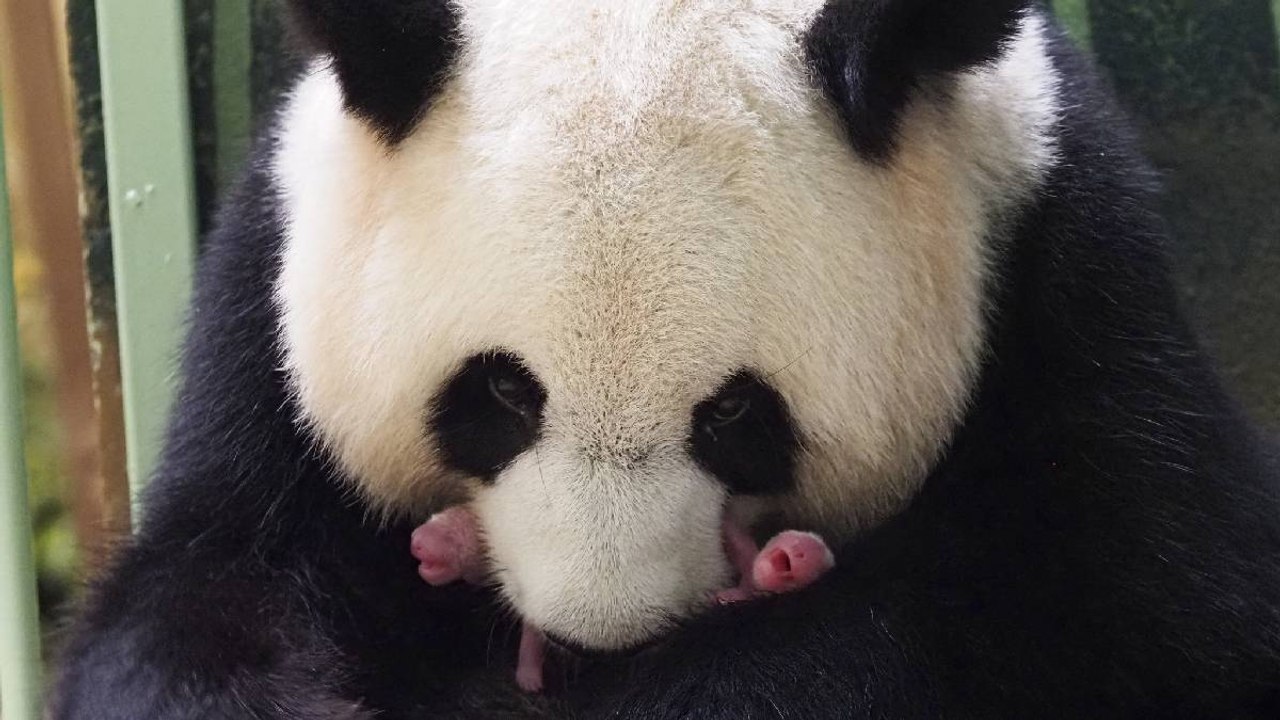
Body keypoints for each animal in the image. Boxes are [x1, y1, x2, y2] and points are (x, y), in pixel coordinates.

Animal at [54, 0, 1280, 717]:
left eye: (736, 416)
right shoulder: (271, 308)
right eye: (499, 392)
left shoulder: (1067, 286)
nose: (594, 634)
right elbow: (199, 594)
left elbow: (1135, 622)